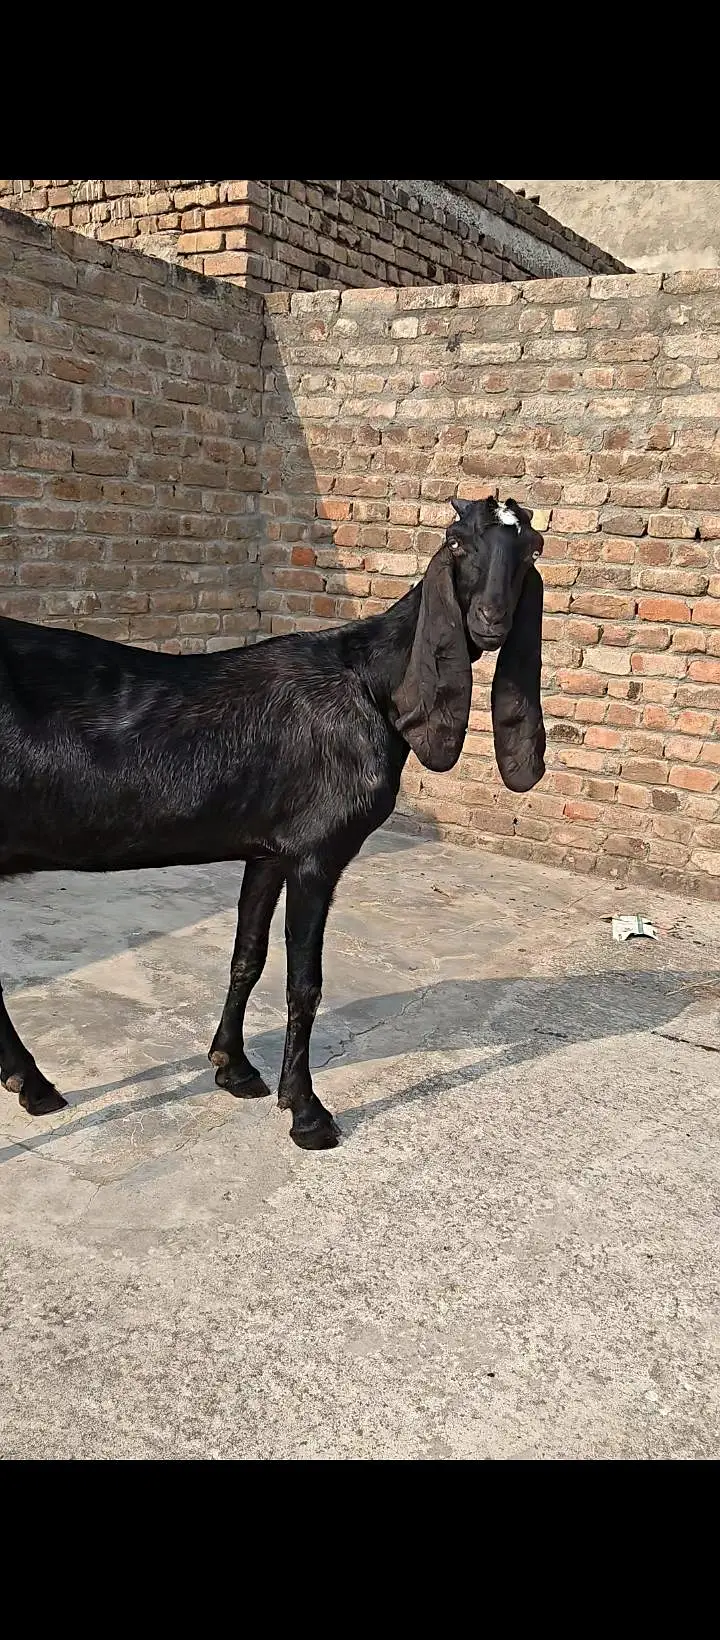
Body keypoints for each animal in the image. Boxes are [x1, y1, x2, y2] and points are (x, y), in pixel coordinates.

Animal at [0, 496, 546, 1149]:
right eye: (457, 542)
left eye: (532, 549)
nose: (491, 620)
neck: (370, 683)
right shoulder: (317, 854)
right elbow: (303, 982)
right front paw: (307, 1111)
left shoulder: (268, 849)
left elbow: (248, 955)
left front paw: (233, 1067)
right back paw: (33, 1083)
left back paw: (32, 1084)